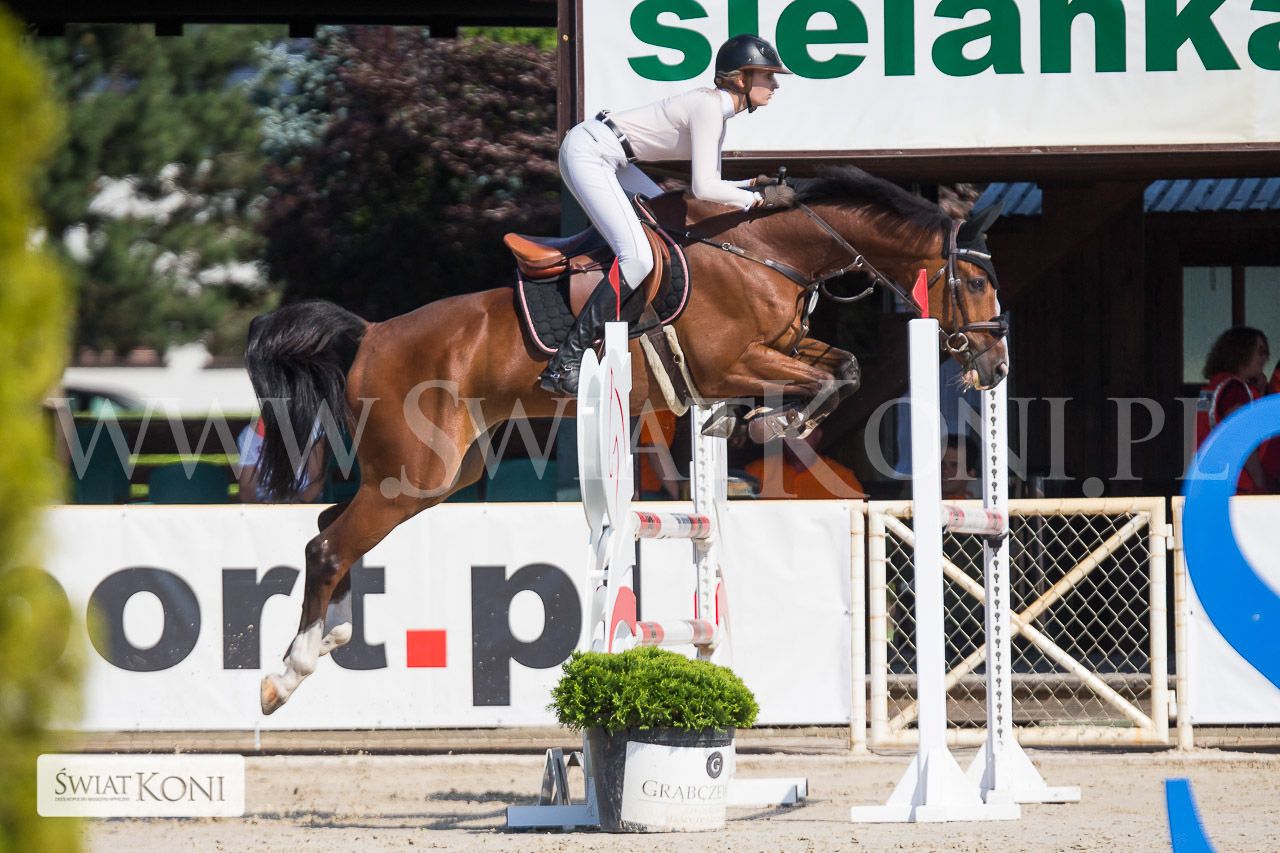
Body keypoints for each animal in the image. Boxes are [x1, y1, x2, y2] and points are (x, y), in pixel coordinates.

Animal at [247, 166, 1008, 714]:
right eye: (973, 280)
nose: (996, 366)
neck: (766, 252)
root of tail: (370, 334)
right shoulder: (729, 362)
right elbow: (831, 376)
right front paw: (771, 422)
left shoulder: (779, 348)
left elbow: (840, 366)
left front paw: (754, 423)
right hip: (417, 473)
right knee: (328, 545)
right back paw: (287, 674)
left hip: (437, 476)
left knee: (330, 527)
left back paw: (331, 636)